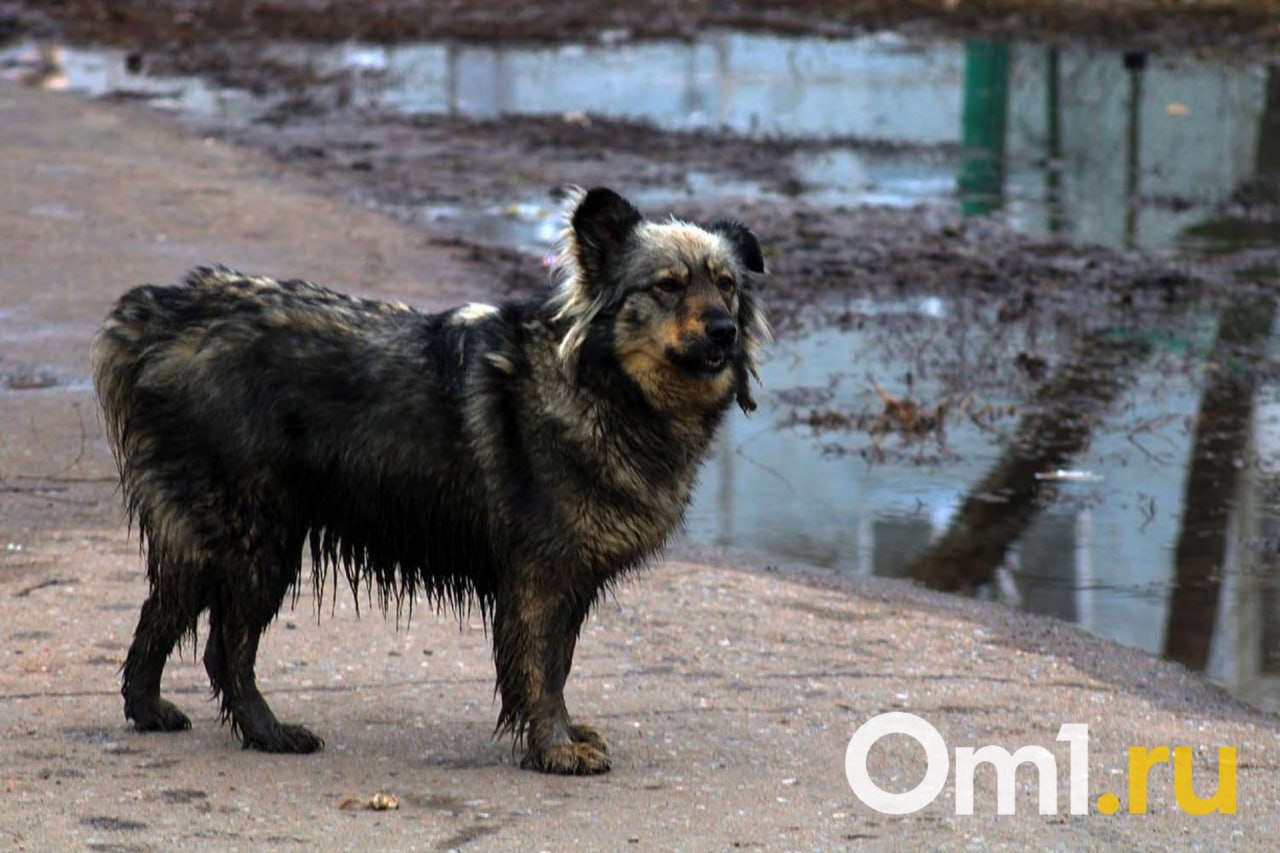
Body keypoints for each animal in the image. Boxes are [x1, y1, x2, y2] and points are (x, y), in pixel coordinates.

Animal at [94, 185, 768, 768]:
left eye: (727, 285)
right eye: (667, 286)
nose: (724, 331)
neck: (603, 385)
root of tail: (168, 314)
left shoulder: (568, 578)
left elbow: (558, 663)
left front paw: (563, 736)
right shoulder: (541, 574)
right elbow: (542, 670)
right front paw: (554, 748)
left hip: (214, 536)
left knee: (162, 612)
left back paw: (149, 710)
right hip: (257, 537)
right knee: (224, 647)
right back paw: (269, 732)